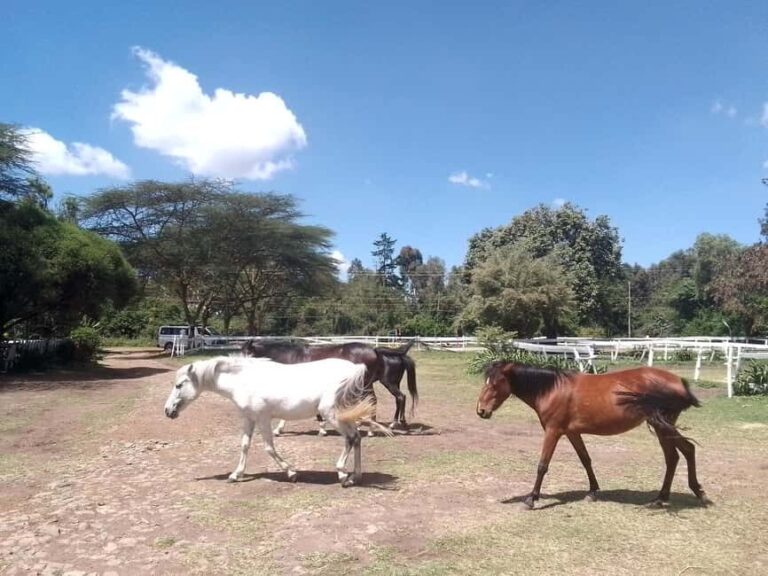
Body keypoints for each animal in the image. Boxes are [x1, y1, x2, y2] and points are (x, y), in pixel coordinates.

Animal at [164, 356, 392, 487]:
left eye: (179, 385)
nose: (167, 411)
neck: (243, 381)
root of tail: (354, 369)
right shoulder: (249, 418)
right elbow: (244, 446)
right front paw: (236, 475)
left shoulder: (263, 418)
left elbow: (269, 448)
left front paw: (291, 473)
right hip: (343, 415)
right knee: (357, 438)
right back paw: (355, 477)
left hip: (332, 415)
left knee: (352, 438)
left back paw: (344, 476)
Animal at [240, 339, 418, 433]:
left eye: (247, 353)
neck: (292, 358)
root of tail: (374, 350)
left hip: (374, 383)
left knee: (387, 399)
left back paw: (378, 427)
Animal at [476, 362, 708, 509]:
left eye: (495, 384)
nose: (481, 411)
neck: (553, 389)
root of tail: (678, 381)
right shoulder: (572, 432)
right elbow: (586, 459)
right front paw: (593, 492)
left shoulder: (553, 431)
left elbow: (542, 465)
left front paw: (531, 498)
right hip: (662, 427)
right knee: (674, 457)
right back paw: (662, 498)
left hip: (662, 425)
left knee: (686, 450)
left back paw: (697, 493)